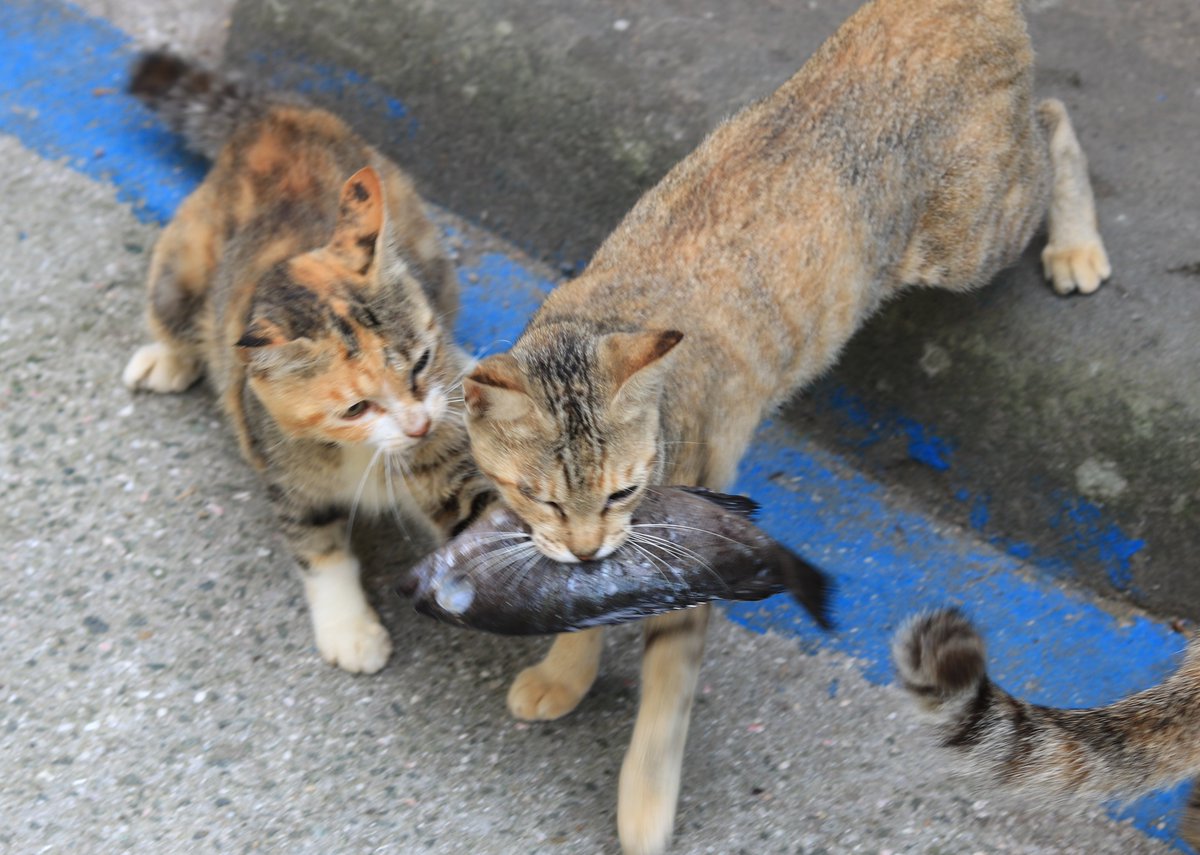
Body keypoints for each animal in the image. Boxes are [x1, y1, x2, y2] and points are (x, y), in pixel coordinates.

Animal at [121, 56, 492, 677]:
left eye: (421, 361)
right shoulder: (287, 478)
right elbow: (319, 550)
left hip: (430, 251)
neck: (362, 455)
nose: (417, 426)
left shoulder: (444, 451)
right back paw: (166, 358)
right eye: (356, 407)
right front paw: (349, 628)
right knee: (172, 310)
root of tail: (277, 118)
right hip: (179, 271)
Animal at [458, 0, 1104, 850]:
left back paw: (1076, 243)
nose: (591, 544)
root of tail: (956, 8)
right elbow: (583, 603)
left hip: (974, 234)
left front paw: (644, 803)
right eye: (543, 497)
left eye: (624, 490)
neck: (602, 319)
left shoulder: (687, 544)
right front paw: (566, 671)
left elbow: (665, 699)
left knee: (1054, 121)